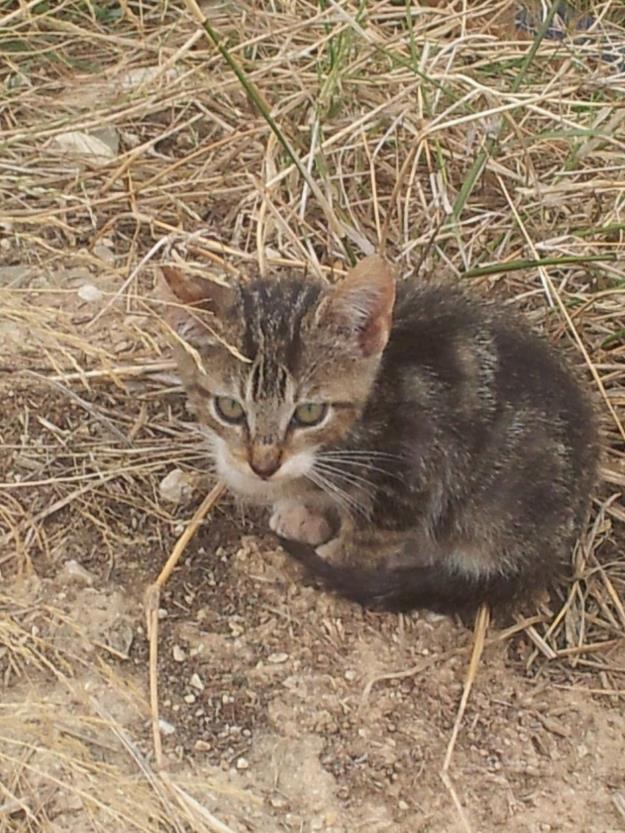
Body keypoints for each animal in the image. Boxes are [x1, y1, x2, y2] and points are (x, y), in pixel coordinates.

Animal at [158, 256, 596, 616]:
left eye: (310, 413)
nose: (263, 464)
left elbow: (364, 543)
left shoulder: (414, 471)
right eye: (229, 408)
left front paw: (330, 553)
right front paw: (301, 512)